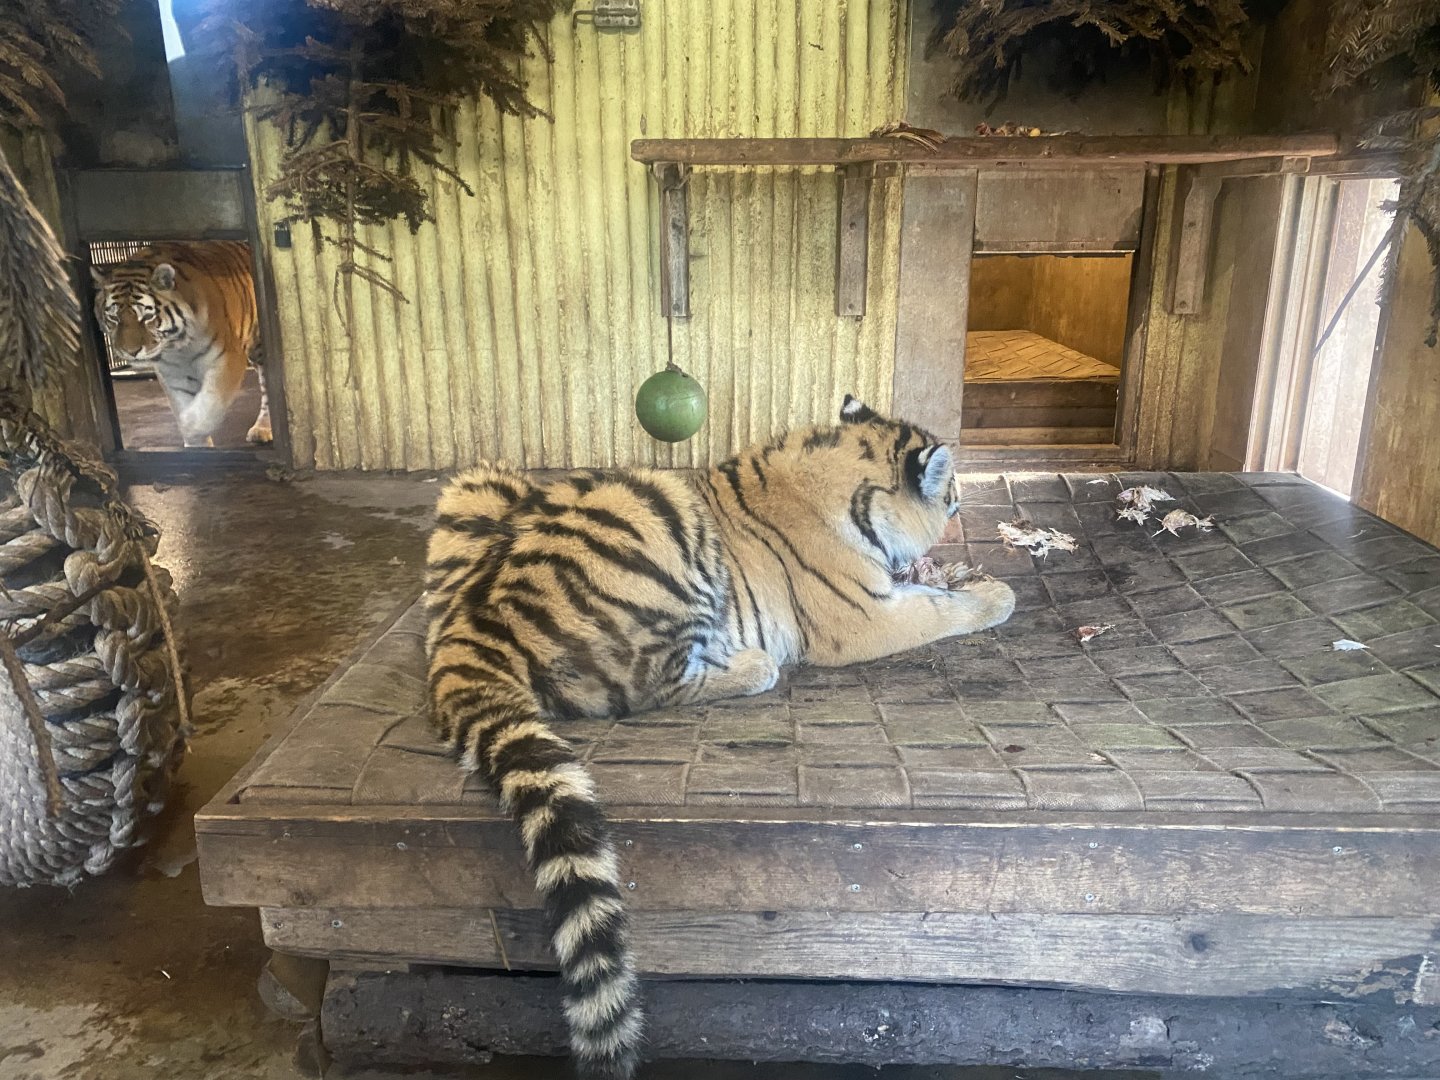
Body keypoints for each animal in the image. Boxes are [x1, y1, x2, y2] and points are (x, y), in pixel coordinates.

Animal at [91, 241, 271, 447]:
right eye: (114, 318)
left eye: (147, 316)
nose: (131, 351)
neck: (178, 346)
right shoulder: (174, 374)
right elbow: (183, 404)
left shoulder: (227, 357)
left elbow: (210, 404)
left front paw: (189, 427)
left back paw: (262, 428)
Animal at [424, 395, 1017, 1078]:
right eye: (952, 502)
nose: (958, 513)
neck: (845, 470)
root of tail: (471, 627)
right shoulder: (862, 618)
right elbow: (941, 610)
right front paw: (995, 594)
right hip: (653, 517)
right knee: (648, 688)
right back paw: (753, 664)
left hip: (478, 486)